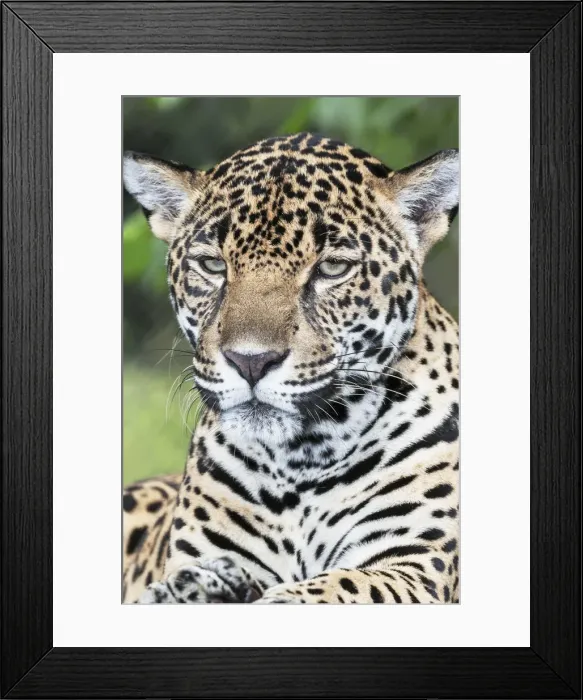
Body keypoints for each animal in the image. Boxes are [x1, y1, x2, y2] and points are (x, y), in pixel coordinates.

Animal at [122, 132, 459, 604]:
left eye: (332, 268)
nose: (250, 361)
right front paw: (199, 588)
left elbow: (334, 586)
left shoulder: (413, 563)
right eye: (212, 265)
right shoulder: (194, 555)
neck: (301, 462)